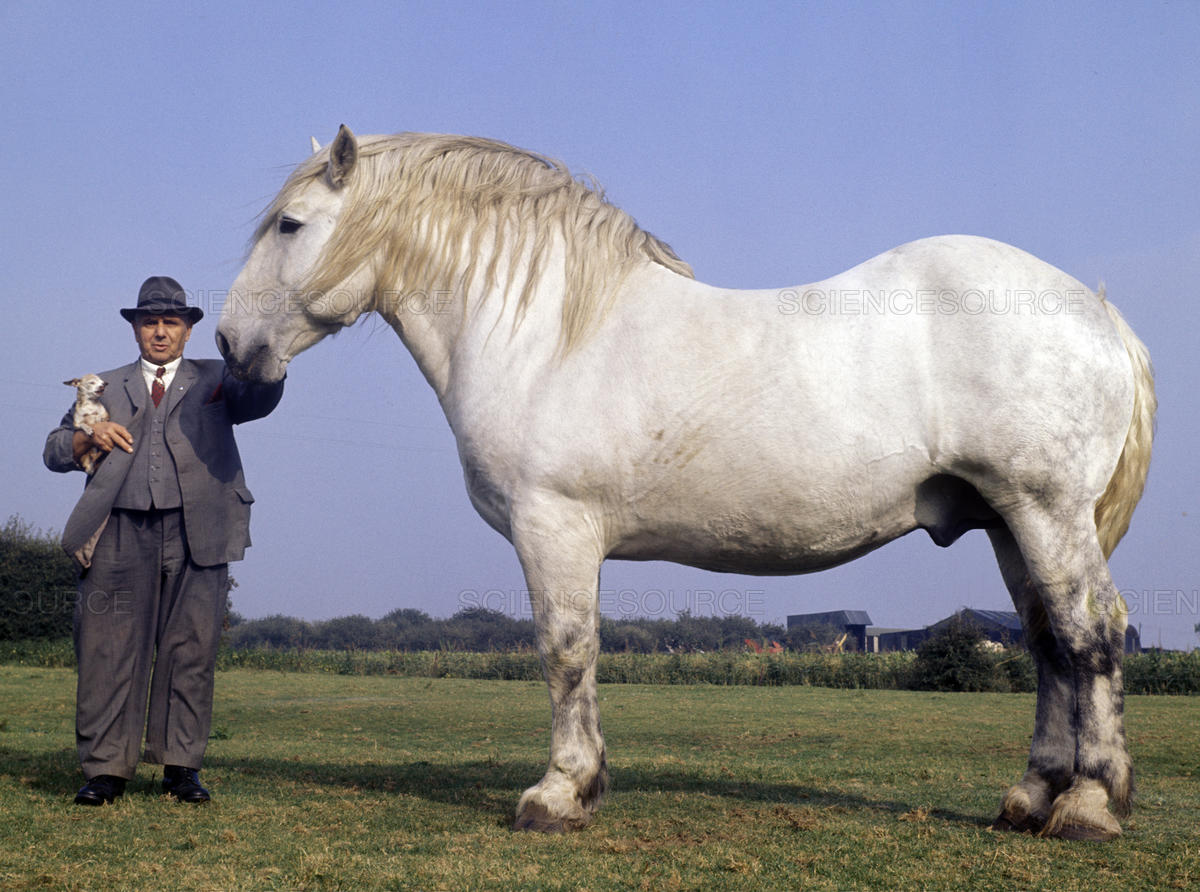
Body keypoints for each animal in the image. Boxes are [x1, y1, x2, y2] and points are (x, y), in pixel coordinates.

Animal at [216, 127, 1152, 845]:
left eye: (291, 224)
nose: (229, 344)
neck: (545, 333)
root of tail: (1099, 311)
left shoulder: (552, 527)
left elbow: (564, 651)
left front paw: (556, 794)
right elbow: (582, 655)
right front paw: (586, 785)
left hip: (1044, 512)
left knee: (1092, 635)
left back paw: (1087, 806)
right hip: (1006, 523)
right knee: (1048, 643)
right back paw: (1030, 798)